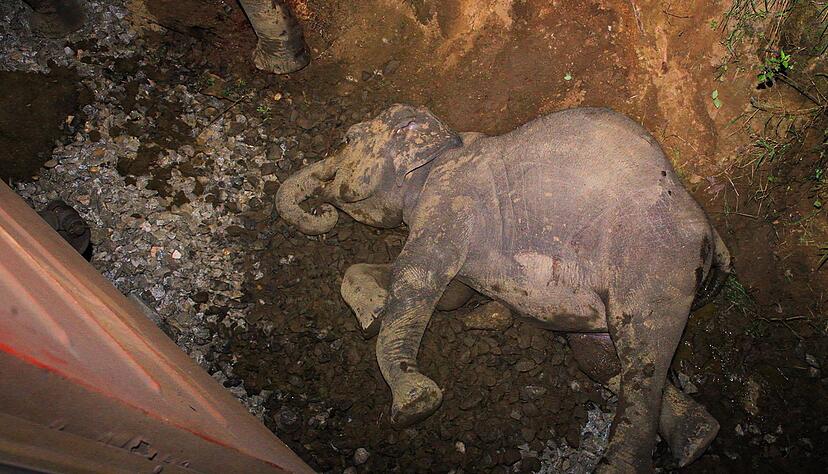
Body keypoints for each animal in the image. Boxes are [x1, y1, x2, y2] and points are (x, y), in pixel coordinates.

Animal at [275, 104, 732, 472]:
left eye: (348, 138)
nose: (322, 208)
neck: (444, 141)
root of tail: (711, 232)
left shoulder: (452, 194)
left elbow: (418, 275)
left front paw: (415, 404)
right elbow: (450, 292)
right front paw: (372, 314)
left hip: (652, 259)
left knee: (641, 358)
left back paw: (622, 463)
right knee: (599, 357)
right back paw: (697, 439)